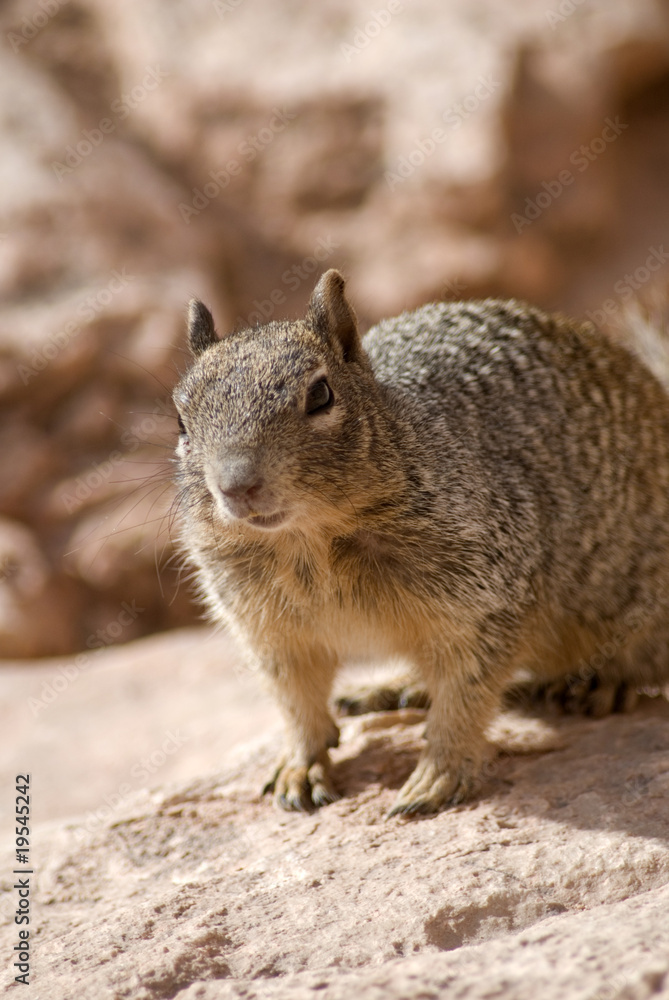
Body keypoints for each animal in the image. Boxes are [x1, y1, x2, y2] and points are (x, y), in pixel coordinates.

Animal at [172, 269, 669, 816]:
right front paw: (300, 766)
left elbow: (466, 693)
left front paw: (439, 775)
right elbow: (296, 701)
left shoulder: (486, 596)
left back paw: (604, 683)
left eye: (321, 395)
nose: (236, 485)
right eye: (180, 419)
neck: (310, 542)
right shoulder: (269, 630)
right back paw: (394, 688)